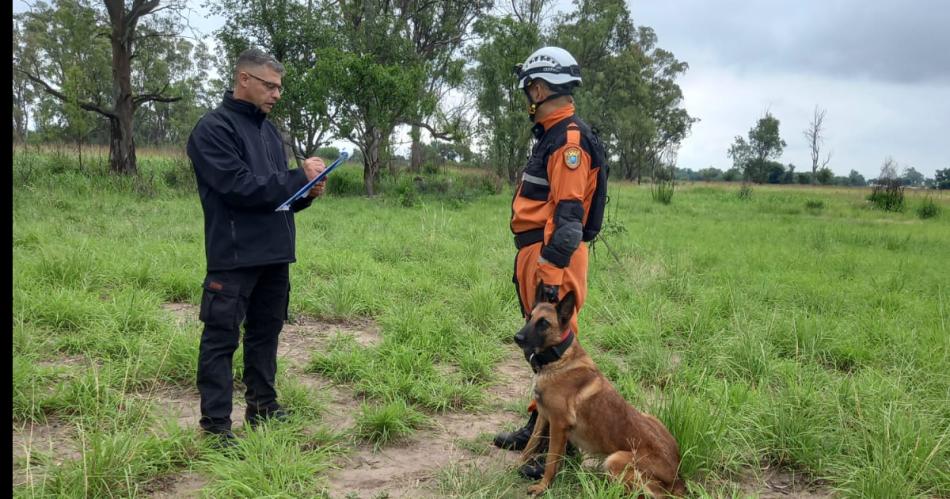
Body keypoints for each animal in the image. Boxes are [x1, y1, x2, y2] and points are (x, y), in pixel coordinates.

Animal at [516, 292, 688, 498]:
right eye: (529, 317)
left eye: (544, 323)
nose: (516, 337)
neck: (559, 360)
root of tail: (677, 475)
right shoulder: (543, 416)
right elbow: (530, 444)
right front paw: (517, 464)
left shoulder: (558, 425)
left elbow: (551, 460)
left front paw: (542, 486)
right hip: (649, 418)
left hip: (615, 459)